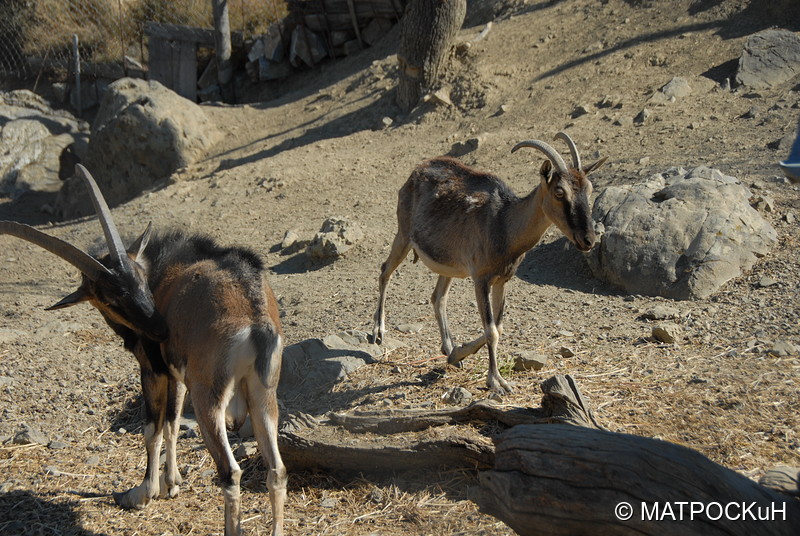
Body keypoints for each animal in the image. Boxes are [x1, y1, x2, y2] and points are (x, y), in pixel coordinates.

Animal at [0, 164, 288, 536]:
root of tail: (255, 319)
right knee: (276, 470)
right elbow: (173, 423)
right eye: (109, 295)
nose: (159, 329)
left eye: (140, 278)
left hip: (209, 397)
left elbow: (153, 429)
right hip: (263, 393)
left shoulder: (152, 369)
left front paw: (142, 492)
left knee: (230, 471)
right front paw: (172, 483)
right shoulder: (176, 375)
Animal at [374, 133, 608, 394]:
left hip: (447, 263)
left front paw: (459, 353)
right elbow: (491, 330)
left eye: (589, 189)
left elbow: (499, 327)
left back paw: (449, 349)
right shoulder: (481, 279)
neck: (504, 223)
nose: (588, 239)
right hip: (403, 234)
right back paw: (378, 332)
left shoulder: (501, 280)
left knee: (438, 297)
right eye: (559, 192)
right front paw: (496, 381)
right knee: (385, 271)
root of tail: (417, 170)